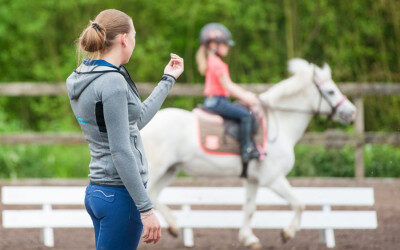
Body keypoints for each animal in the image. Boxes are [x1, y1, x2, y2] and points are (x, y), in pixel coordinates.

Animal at [141, 58, 356, 248]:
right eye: (331, 91)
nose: (352, 112)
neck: (279, 124)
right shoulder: (273, 178)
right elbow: (299, 204)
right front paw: (287, 233)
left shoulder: (253, 179)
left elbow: (250, 208)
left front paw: (249, 239)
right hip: (156, 169)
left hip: (170, 170)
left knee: (152, 195)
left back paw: (174, 226)